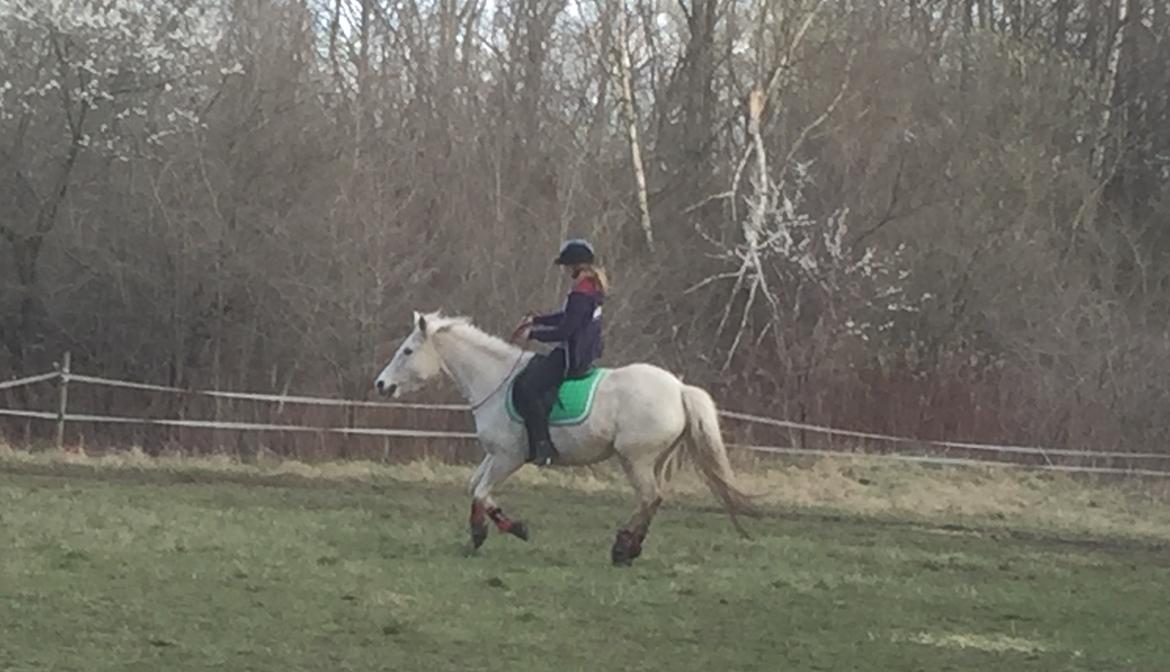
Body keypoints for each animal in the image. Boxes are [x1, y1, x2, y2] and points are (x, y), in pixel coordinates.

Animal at [374, 313, 758, 566]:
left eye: (407, 351)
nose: (381, 384)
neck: (496, 380)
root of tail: (679, 388)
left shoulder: (509, 457)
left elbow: (482, 492)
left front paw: (510, 529)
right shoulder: (495, 454)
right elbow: (474, 488)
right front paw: (485, 532)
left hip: (636, 459)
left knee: (650, 497)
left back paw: (623, 549)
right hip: (655, 459)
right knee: (653, 499)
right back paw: (631, 547)